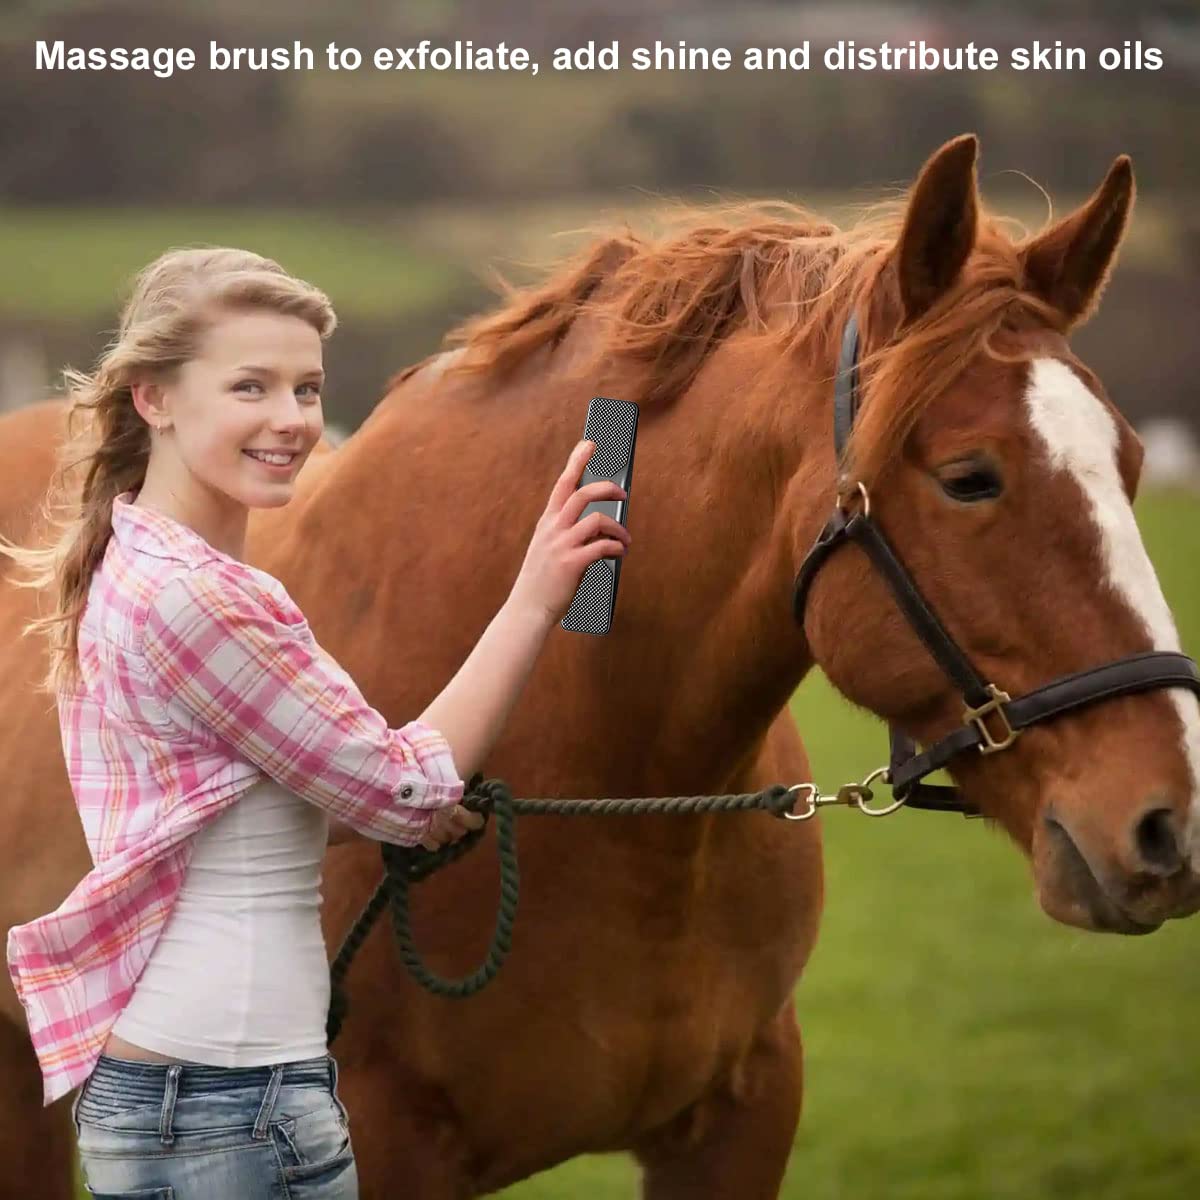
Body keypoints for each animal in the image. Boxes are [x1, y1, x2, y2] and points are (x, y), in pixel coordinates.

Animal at [1, 134, 1198, 1199]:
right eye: (969, 476)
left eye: (1132, 461)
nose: (1168, 828)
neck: (610, 789)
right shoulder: (383, 1146)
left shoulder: (740, 1120)